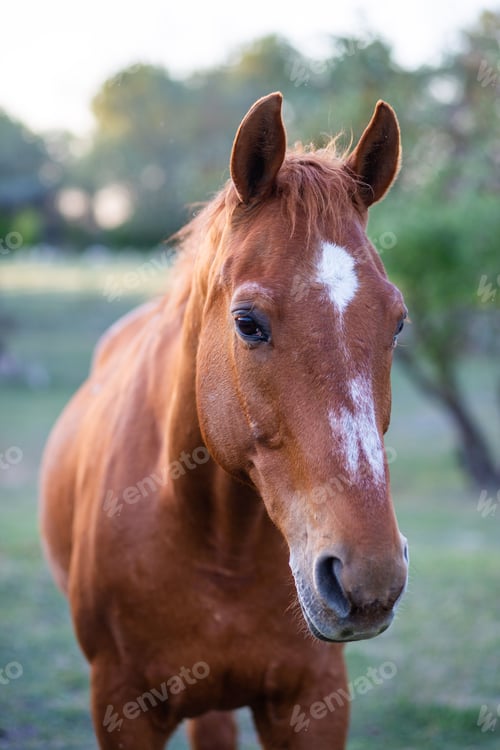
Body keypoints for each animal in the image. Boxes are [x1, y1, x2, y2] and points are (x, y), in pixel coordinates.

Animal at [40, 92, 409, 749]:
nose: (370, 579)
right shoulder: (121, 706)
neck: (219, 545)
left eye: (398, 321)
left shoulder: (314, 701)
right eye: (247, 323)